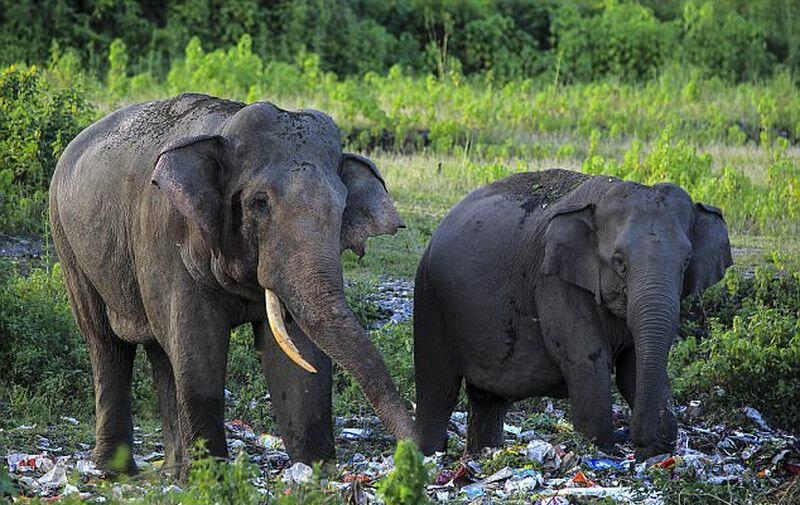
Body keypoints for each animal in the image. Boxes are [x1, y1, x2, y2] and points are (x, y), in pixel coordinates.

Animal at [48, 93, 418, 476]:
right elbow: (199, 344)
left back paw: (170, 471)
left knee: (161, 352)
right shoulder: (167, 234)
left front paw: (316, 473)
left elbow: (296, 355)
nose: (419, 452)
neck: (225, 127)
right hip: (66, 238)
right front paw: (211, 478)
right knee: (105, 343)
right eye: (259, 202)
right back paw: (116, 471)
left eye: (342, 207)